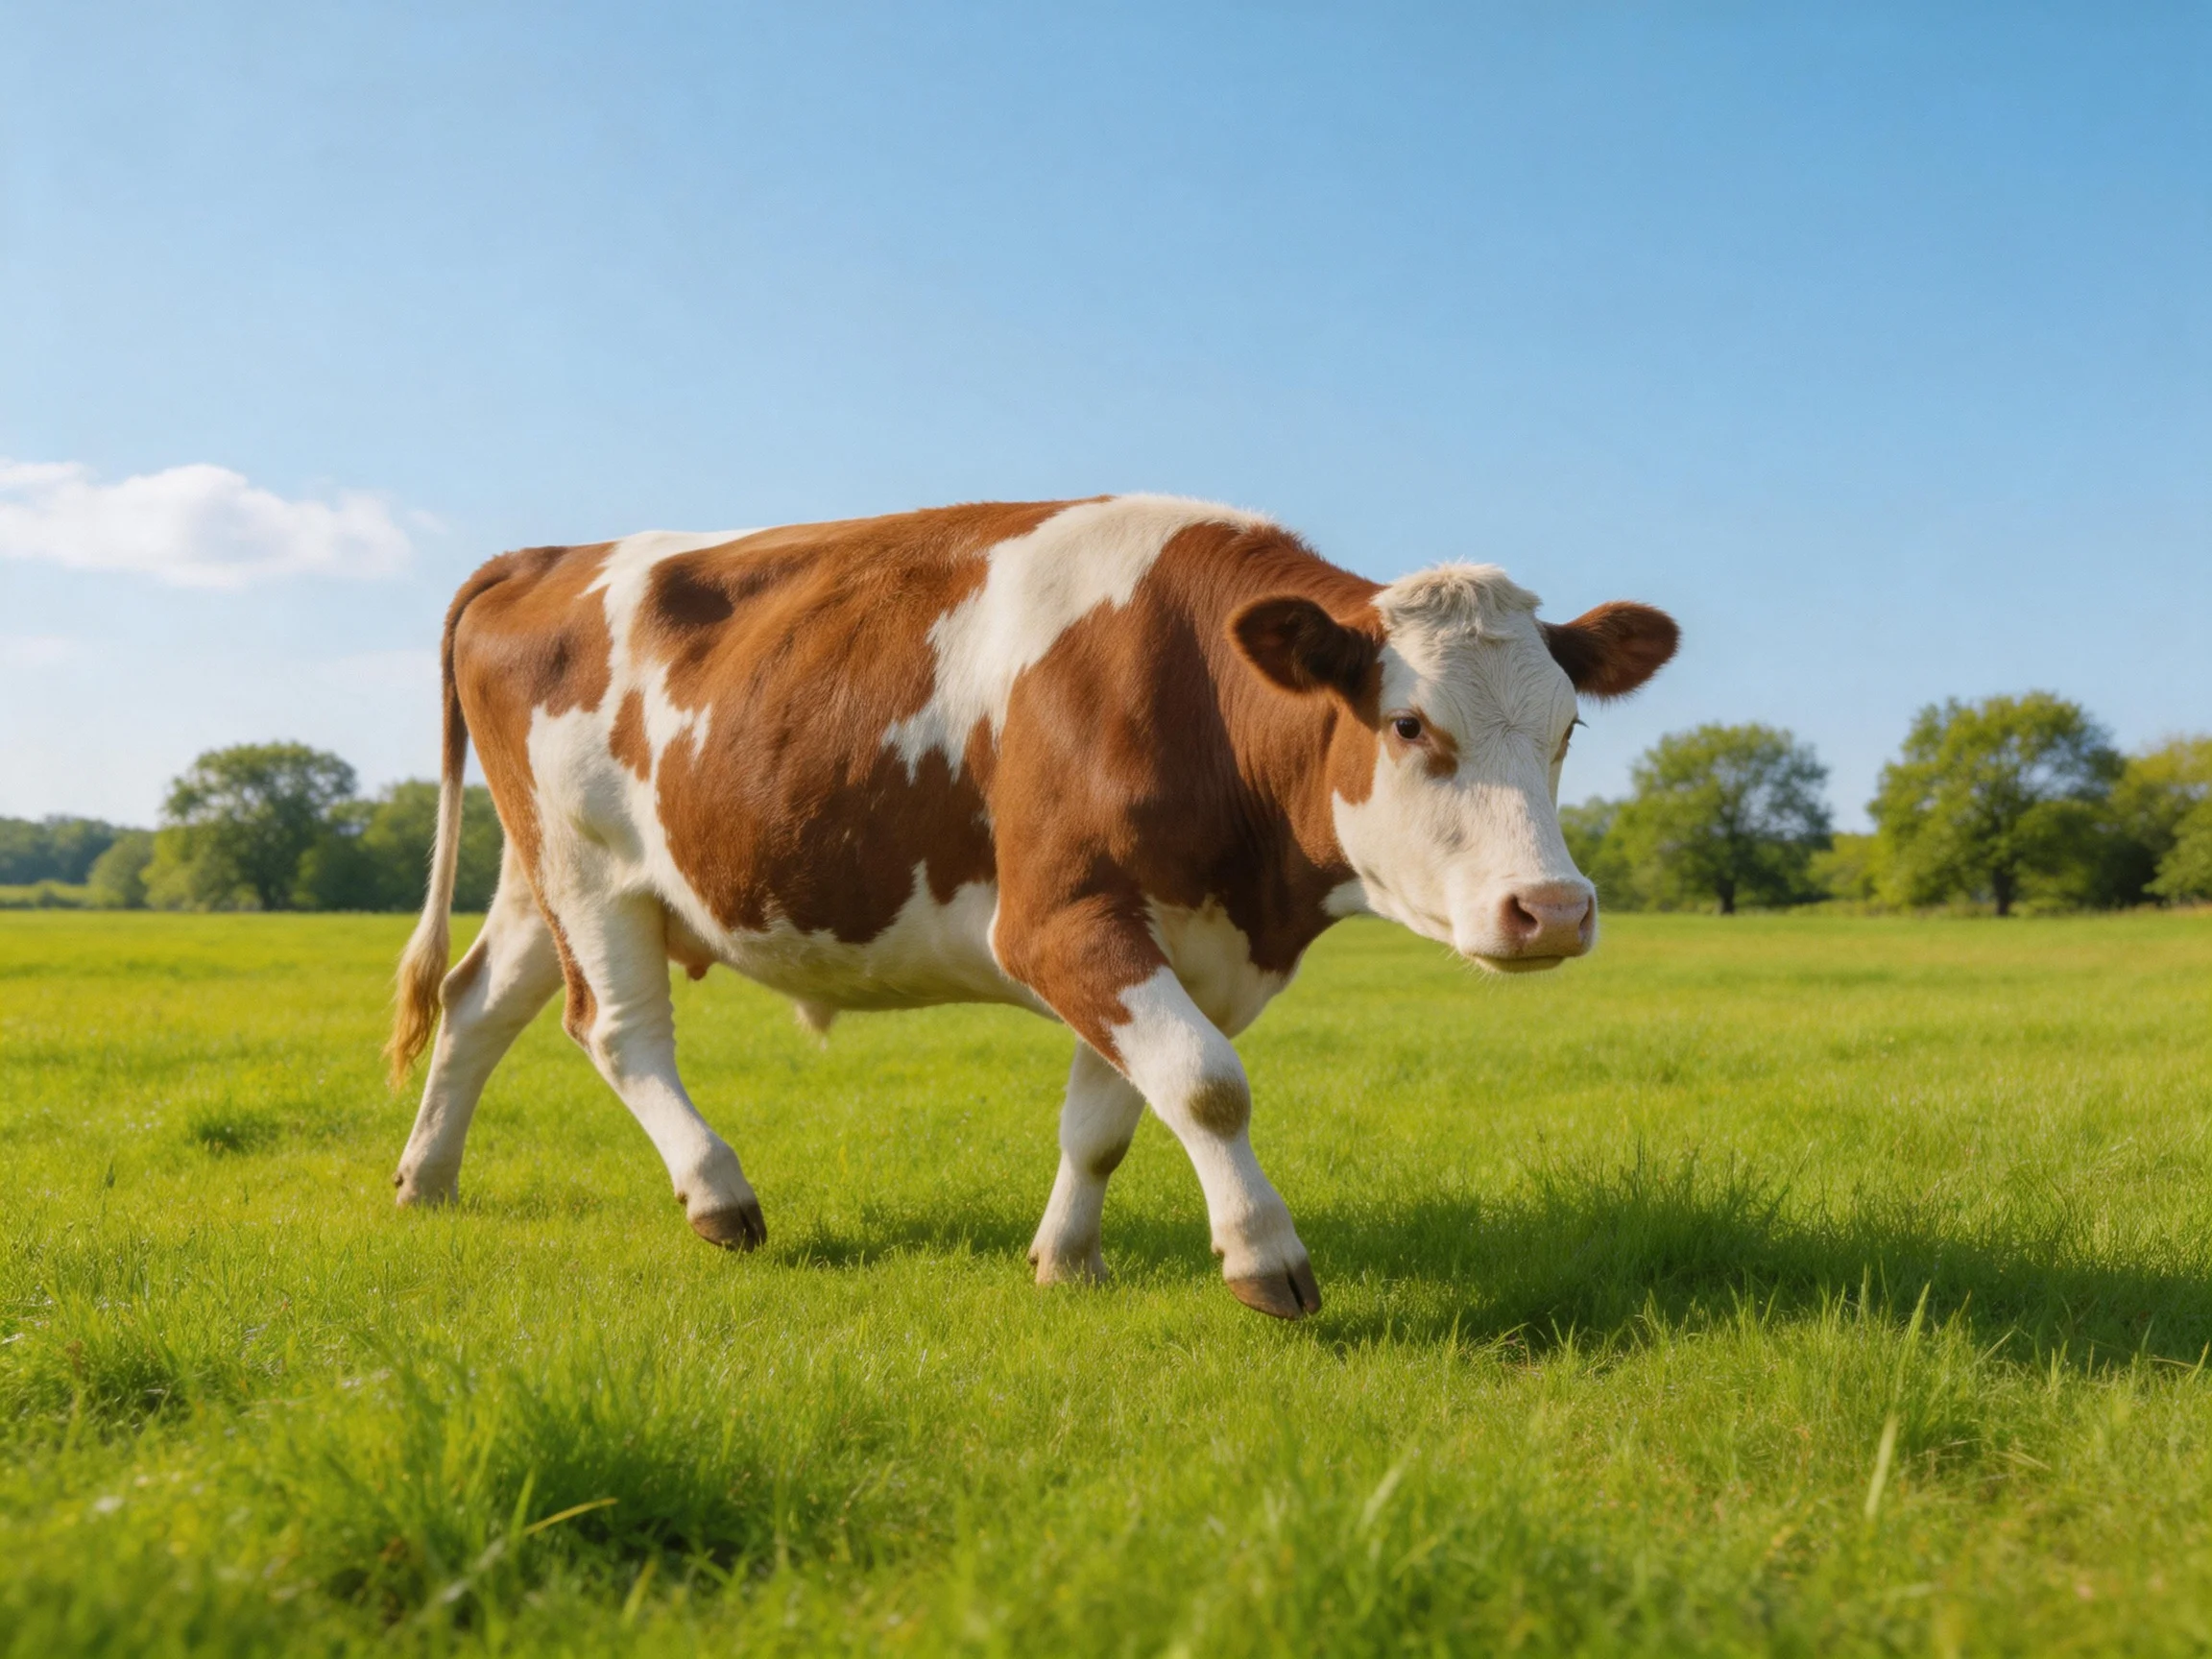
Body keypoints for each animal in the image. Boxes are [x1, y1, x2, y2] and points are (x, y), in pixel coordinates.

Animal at [385, 495, 1677, 1318]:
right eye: (1409, 725)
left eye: (1568, 728)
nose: (1553, 909)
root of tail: (550, 553)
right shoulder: (1058, 919)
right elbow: (1207, 1084)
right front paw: (1264, 1259)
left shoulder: (1170, 940)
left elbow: (1110, 1115)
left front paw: (1067, 1262)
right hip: (591, 865)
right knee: (616, 1030)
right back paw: (718, 1194)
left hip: (537, 870)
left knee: (478, 1001)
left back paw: (428, 1180)